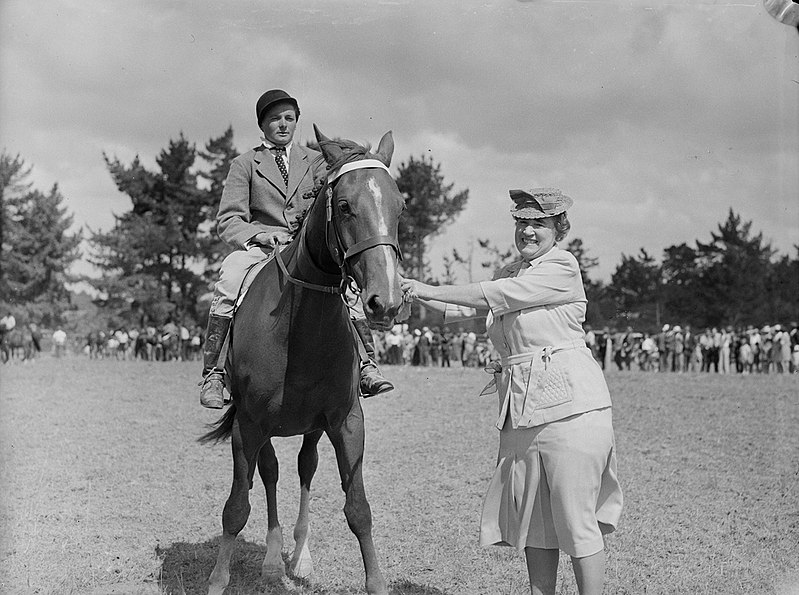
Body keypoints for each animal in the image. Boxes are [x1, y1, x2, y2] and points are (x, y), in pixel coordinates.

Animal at [197, 127, 404, 595]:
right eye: (344, 206)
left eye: (398, 205)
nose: (385, 301)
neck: (301, 329)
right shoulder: (249, 424)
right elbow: (236, 507)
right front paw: (218, 579)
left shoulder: (346, 421)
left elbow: (358, 508)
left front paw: (376, 581)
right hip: (265, 426)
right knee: (271, 473)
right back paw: (274, 561)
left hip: (311, 427)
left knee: (304, 468)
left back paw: (298, 558)